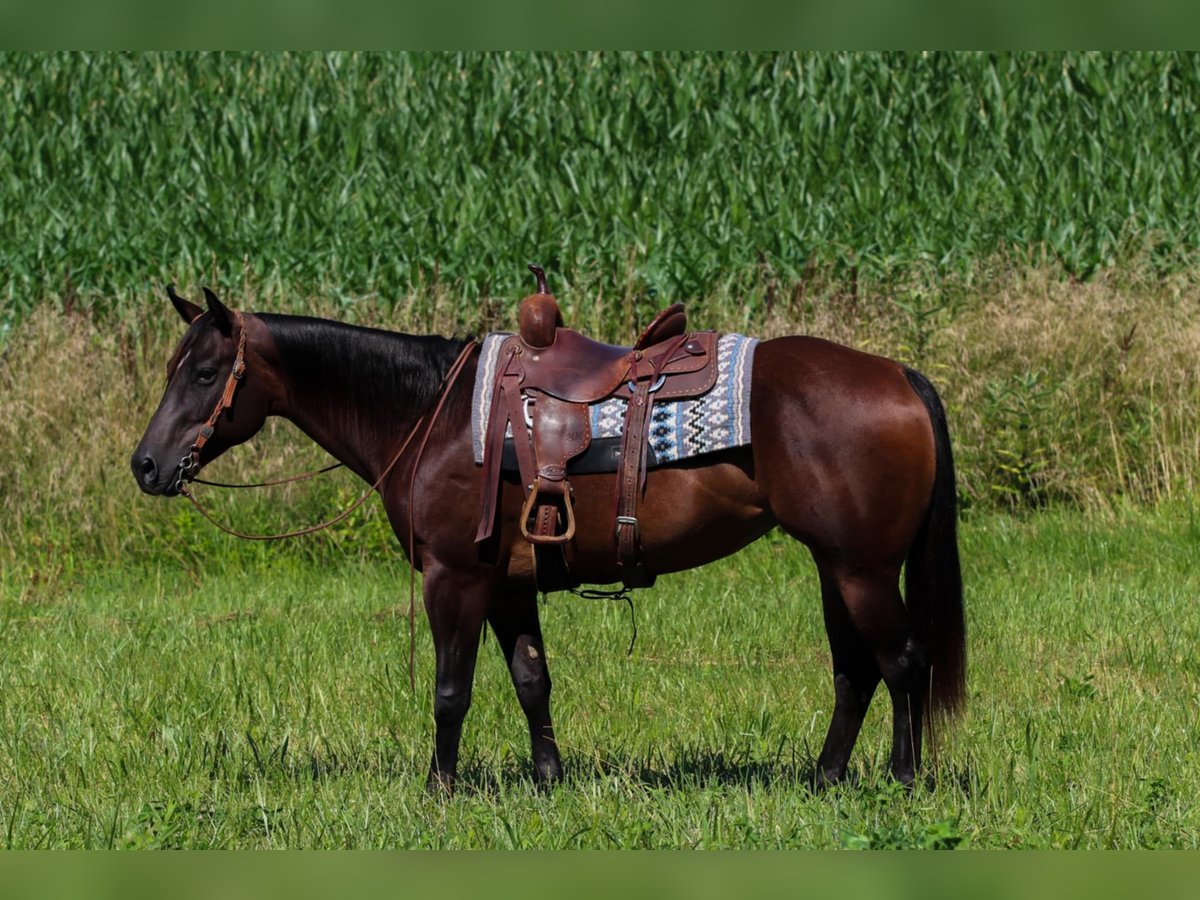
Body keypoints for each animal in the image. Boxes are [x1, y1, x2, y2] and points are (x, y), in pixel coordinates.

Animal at [131, 285, 965, 791]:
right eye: (176, 368)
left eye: (204, 374)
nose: (146, 465)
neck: (431, 416)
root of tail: (898, 375)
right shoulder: (507, 584)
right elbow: (532, 678)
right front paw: (547, 779)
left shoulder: (456, 577)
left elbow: (451, 690)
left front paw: (439, 788)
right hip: (836, 565)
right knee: (855, 670)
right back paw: (825, 777)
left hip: (861, 568)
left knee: (901, 660)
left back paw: (903, 778)